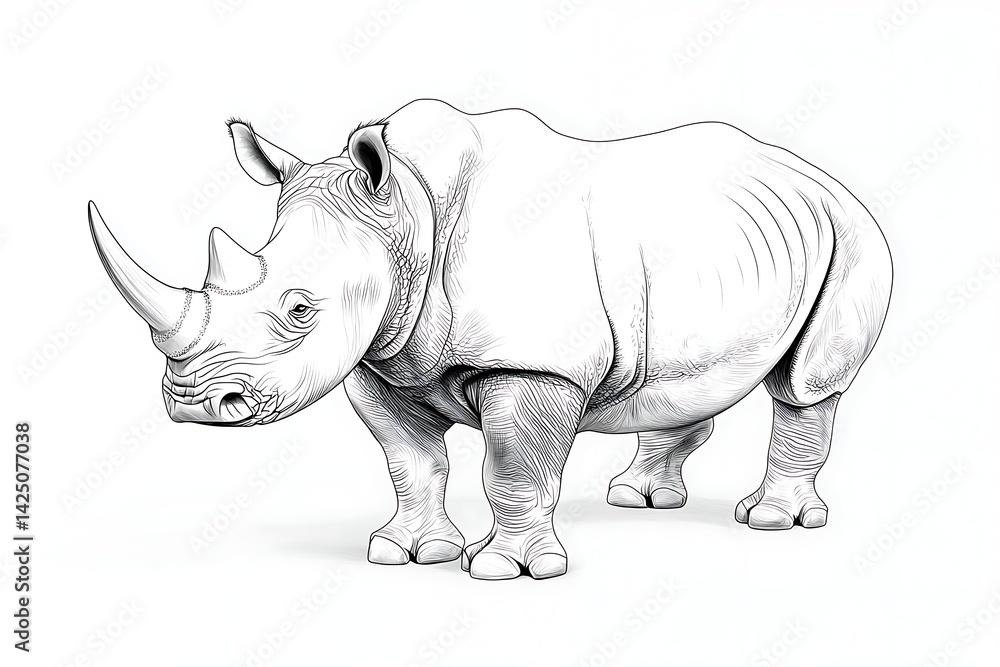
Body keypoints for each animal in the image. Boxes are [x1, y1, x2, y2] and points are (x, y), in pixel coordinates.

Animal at [89, 99, 892, 580]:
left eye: (298, 309)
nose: (193, 403)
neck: (406, 214)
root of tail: (820, 174)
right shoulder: (380, 357)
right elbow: (411, 461)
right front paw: (406, 552)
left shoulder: (535, 365)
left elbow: (513, 466)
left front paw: (507, 569)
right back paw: (640, 498)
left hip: (851, 233)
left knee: (807, 383)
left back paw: (772, 520)